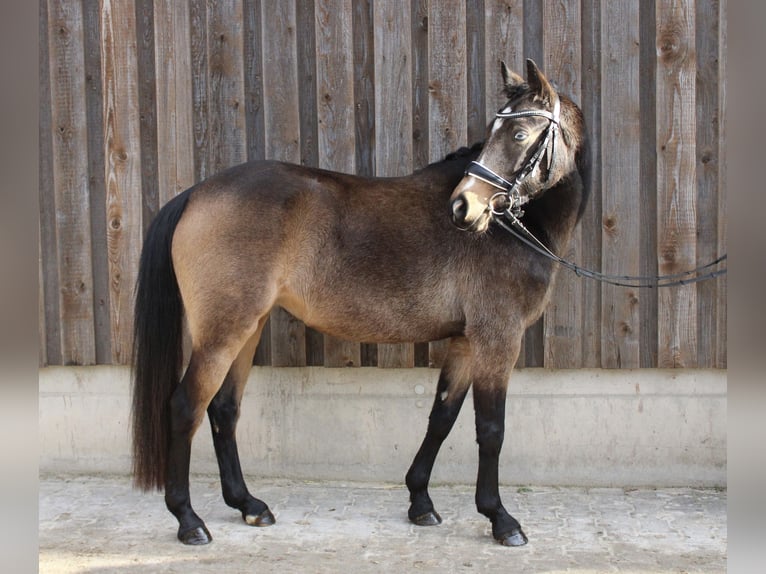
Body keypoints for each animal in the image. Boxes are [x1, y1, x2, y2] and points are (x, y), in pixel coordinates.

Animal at [132, 58, 592, 548]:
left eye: (519, 133)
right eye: (496, 132)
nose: (464, 207)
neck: (512, 231)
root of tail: (195, 194)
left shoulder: (467, 342)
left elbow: (442, 416)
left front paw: (420, 502)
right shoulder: (497, 340)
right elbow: (491, 430)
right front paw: (500, 518)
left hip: (248, 327)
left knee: (223, 409)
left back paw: (249, 505)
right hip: (223, 333)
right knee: (186, 408)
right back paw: (188, 520)